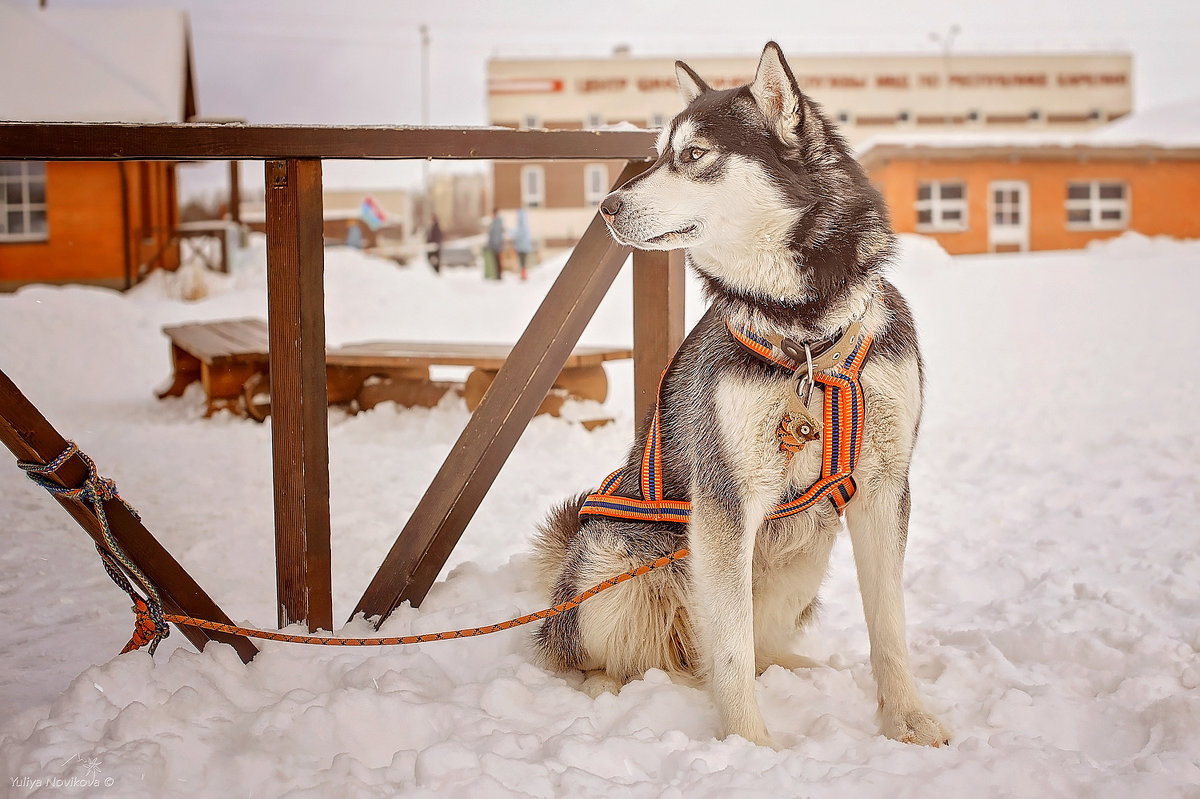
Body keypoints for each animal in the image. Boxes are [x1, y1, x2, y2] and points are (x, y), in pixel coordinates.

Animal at [530, 40, 950, 743]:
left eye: (695, 154)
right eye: (659, 151)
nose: (607, 206)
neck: (804, 335)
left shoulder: (884, 487)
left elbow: (889, 627)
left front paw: (910, 721)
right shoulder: (726, 501)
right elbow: (727, 650)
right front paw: (751, 746)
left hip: (805, 553)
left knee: (746, 647)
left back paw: (796, 668)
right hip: (611, 569)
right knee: (608, 651)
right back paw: (611, 690)